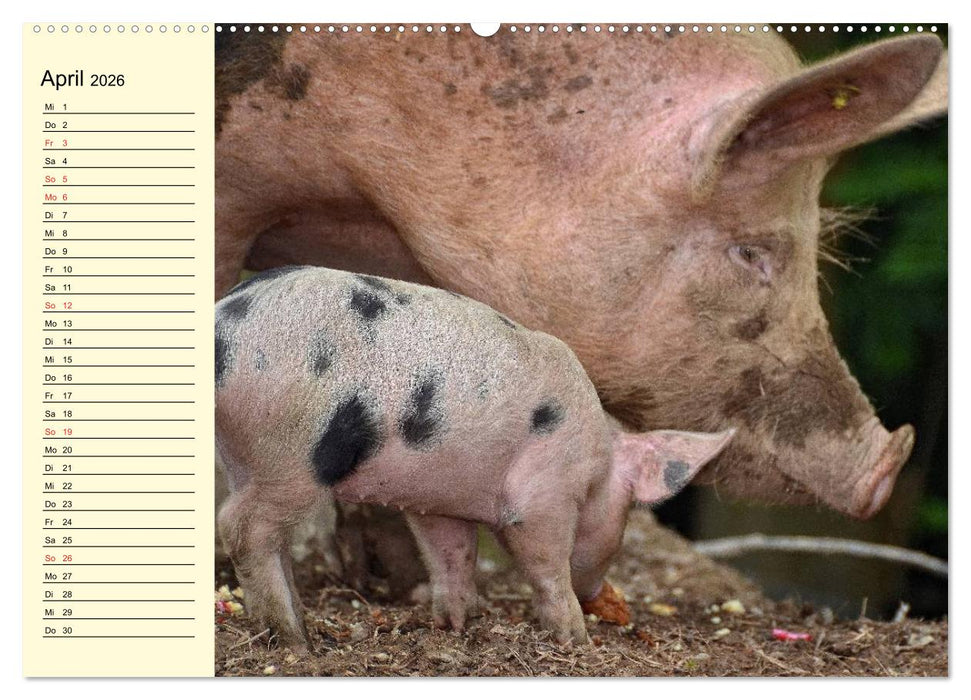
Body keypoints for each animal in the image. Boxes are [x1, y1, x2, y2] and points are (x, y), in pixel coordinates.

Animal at [215, 265, 734, 649]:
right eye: (626, 519)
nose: (595, 596)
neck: (598, 462)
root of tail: (224, 328)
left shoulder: (438, 500)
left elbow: (452, 555)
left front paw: (459, 625)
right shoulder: (544, 495)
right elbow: (545, 563)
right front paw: (576, 639)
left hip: (245, 455)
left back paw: (298, 625)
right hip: (291, 452)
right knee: (240, 527)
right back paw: (296, 641)